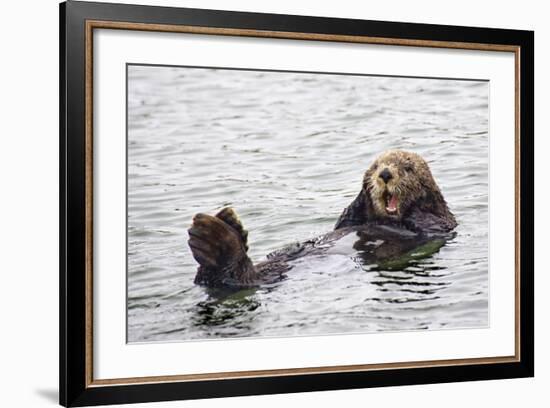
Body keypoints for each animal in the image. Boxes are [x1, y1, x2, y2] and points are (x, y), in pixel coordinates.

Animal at [188, 150, 460, 286]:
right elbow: (347, 218)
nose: (384, 174)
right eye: (376, 165)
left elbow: (430, 221)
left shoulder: (442, 222)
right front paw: (363, 192)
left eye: (407, 168)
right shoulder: (351, 220)